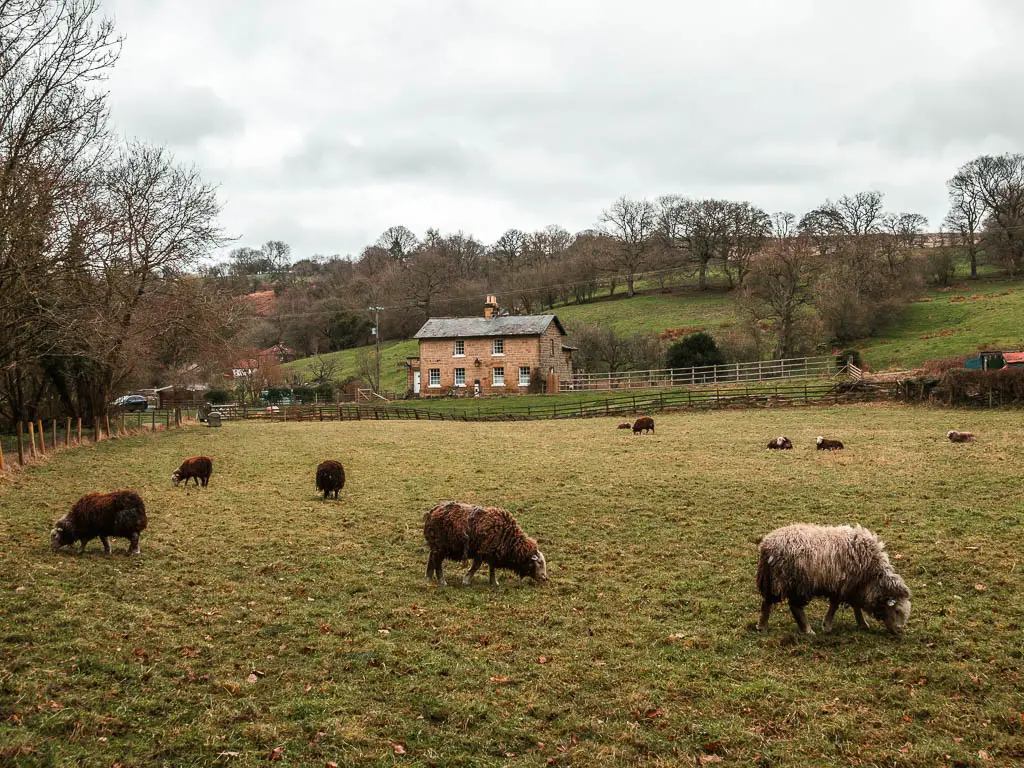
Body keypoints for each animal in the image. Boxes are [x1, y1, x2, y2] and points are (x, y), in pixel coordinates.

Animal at [753, 524, 913, 638]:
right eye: (897, 610)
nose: (899, 632)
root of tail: (767, 546)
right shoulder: (844, 585)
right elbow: (836, 605)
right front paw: (827, 625)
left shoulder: (854, 587)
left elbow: (856, 606)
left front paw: (862, 624)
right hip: (797, 583)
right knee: (795, 607)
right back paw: (807, 630)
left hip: (771, 581)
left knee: (767, 602)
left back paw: (762, 626)